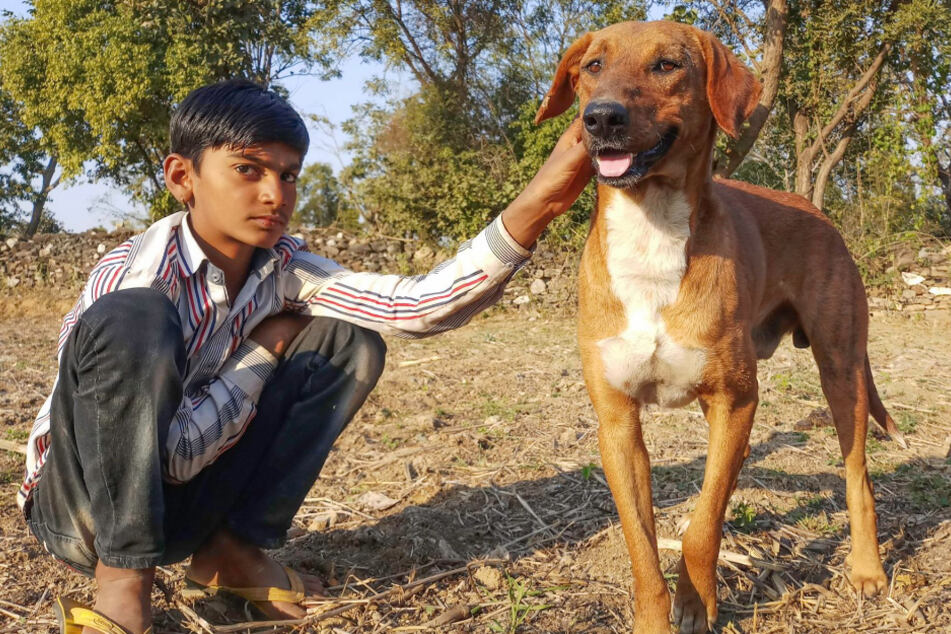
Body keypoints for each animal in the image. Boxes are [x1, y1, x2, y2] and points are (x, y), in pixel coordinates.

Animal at [536, 19, 900, 632]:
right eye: (592, 66)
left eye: (667, 65)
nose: (601, 118)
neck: (651, 228)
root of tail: (818, 210)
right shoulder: (617, 422)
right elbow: (642, 541)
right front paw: (656, 615)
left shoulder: (735, 401)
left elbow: (703, 527)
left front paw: (694, 602)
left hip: (840, 370)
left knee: (857, 477)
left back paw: (868, 569)